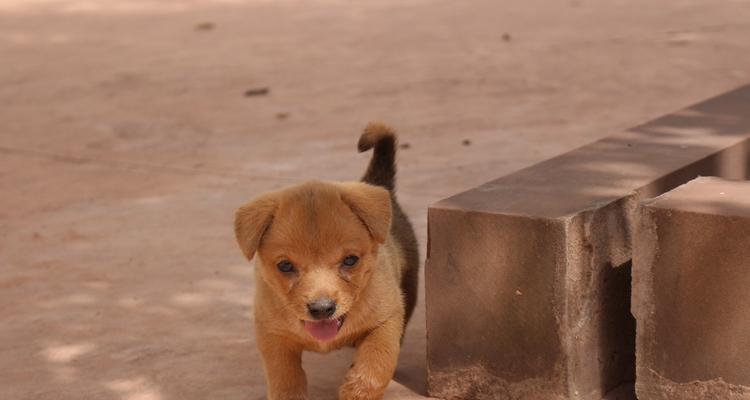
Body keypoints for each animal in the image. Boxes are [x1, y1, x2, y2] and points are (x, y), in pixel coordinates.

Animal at [235, 123, 424, 398]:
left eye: (350, 260)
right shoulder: (272, 335)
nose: (322, 309)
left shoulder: (386, 320)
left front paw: (355, 389)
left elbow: (374, 368)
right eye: (285, 265)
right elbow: (285, 379)